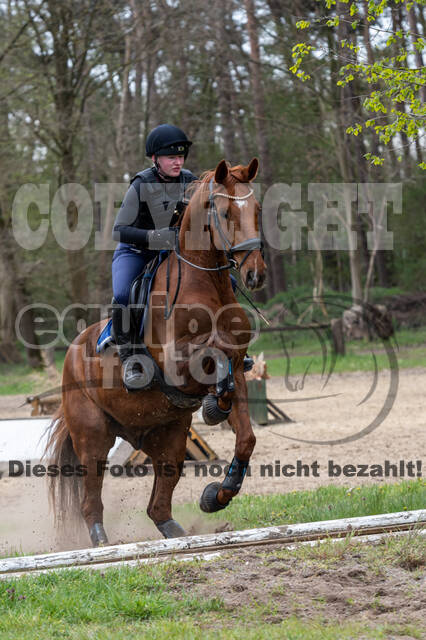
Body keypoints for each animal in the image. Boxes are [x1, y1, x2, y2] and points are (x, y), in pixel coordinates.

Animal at [46, 158, 266, 548]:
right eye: (225, 213)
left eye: (256, 210)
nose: (255, 273)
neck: (206, 286)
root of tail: (72, 351)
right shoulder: (178, 365)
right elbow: (214, 357)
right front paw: (215, 407)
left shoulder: (239, 365)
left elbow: (245, 438)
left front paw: (218, 495)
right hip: (93, 434)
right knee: (91, 489)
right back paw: (100, 539)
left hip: (164, 434)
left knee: (160, 492)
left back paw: (175, 531)